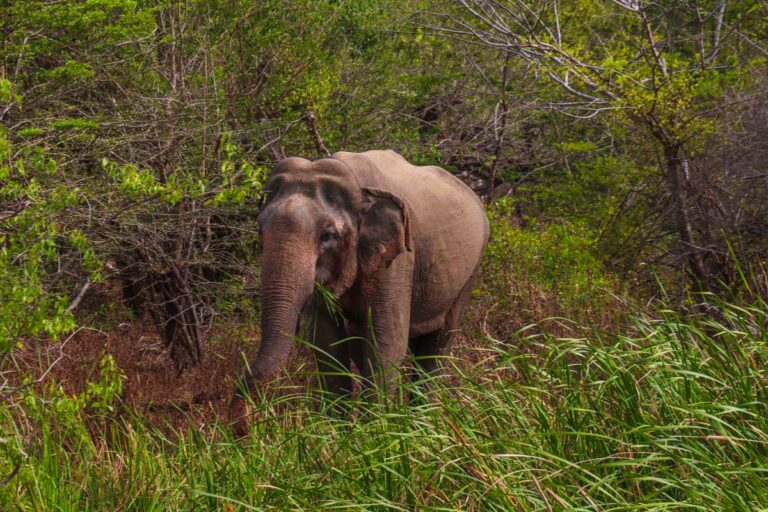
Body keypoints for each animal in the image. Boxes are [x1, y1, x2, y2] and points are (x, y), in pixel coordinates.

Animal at [231, 150, 488, 434]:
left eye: (327, 236)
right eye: (260, 231)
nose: (246, 427)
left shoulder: (396, 261)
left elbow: (387, 340)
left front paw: (374, 432)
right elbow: (326, 341)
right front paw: (338, 434)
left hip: (470, 271)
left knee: (437, 346)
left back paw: (422, 425)